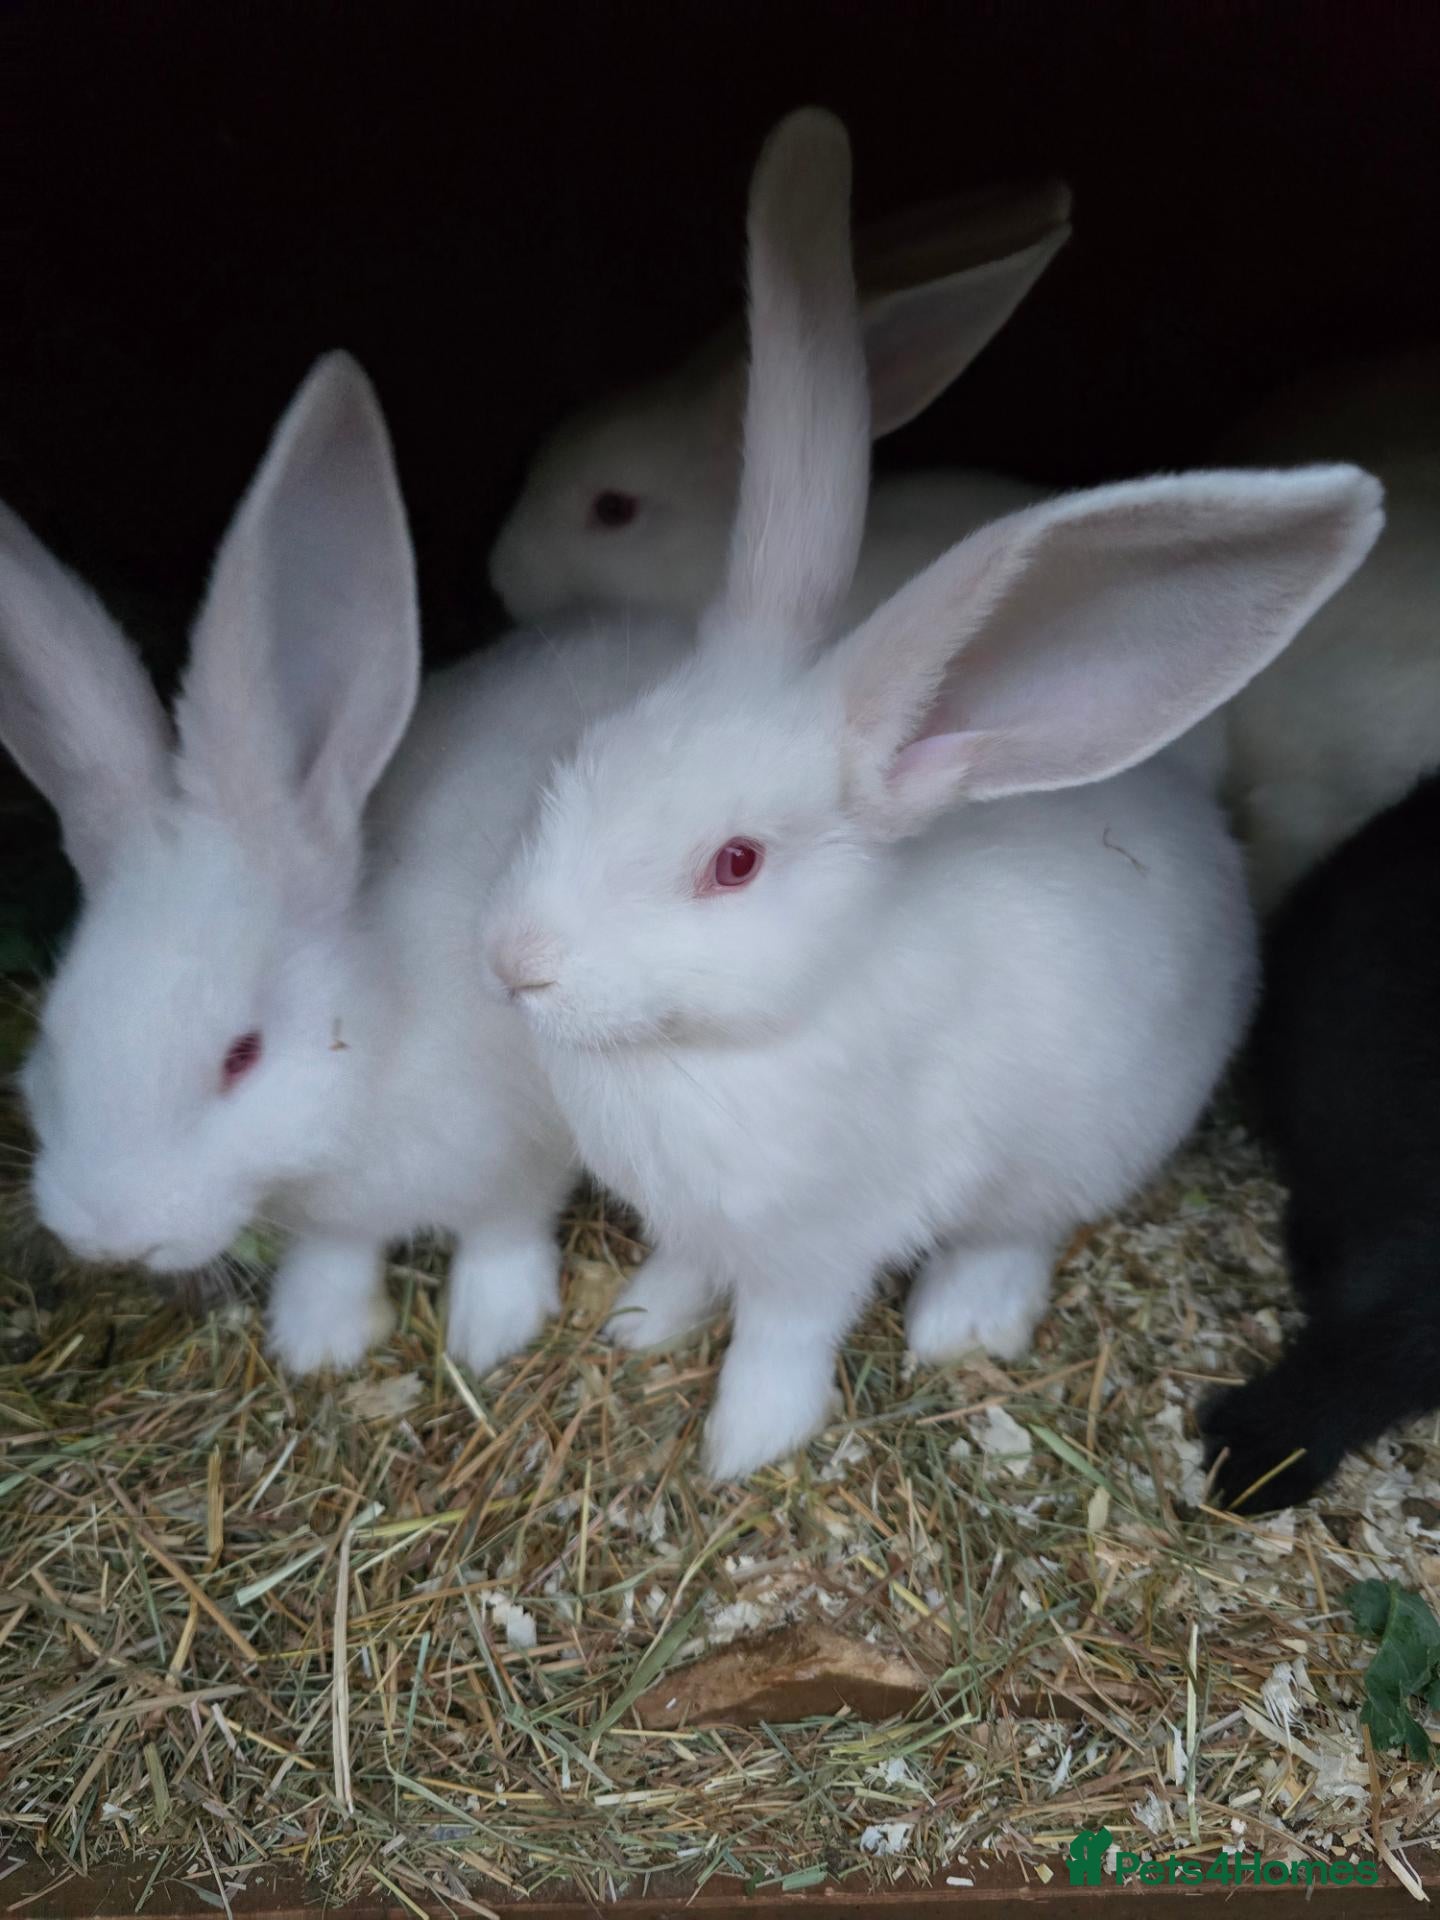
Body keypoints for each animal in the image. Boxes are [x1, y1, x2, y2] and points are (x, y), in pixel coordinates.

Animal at [0, 352, 686, 1378]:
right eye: (55, 1026)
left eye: (242, 1055)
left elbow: (501, 1231)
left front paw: (490, 1332)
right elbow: (336, 1253)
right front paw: (318, 1339)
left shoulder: (521, 1149)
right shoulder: (334, 1217)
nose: (107, 1236)